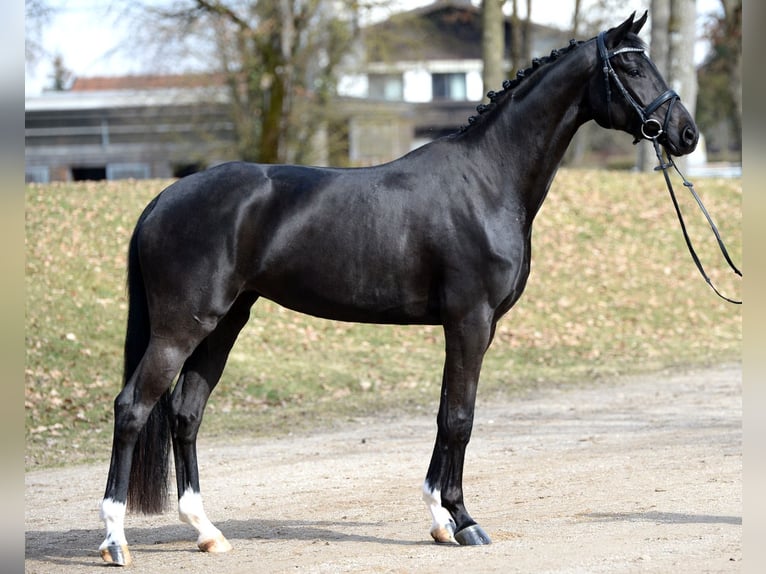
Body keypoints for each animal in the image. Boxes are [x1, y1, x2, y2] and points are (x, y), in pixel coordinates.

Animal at [99, 13, 700, 568]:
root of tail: (162, 200)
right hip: (182, 327)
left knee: (185, 414)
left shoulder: (473, 327)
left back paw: (206, 531)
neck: (488, 180)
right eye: (630, 66)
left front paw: (439, 518)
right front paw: (464, 521)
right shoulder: (470, 320)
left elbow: (445, 413)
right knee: (132, 408)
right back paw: (115, 540)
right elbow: (460, 418)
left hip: (225, 323)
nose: (686, 134)